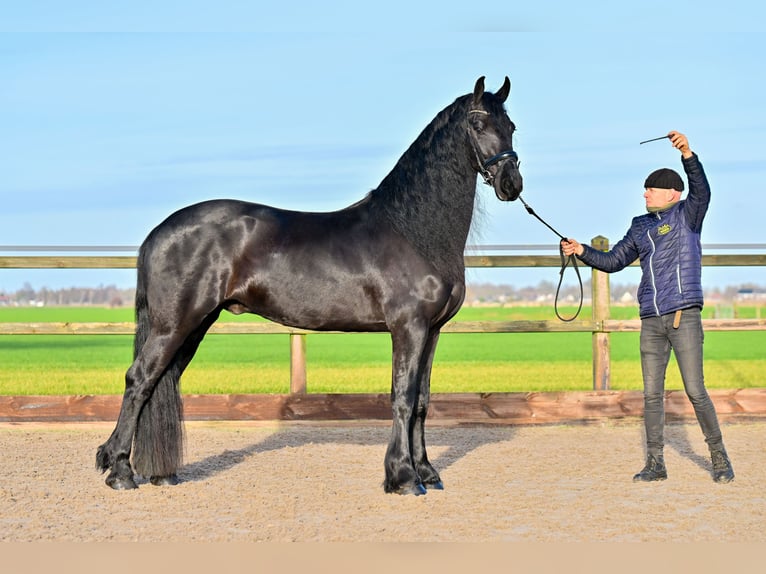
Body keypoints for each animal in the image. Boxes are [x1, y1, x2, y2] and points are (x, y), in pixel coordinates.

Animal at [96, 76, 523, 495]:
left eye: (512, 126)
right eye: (478, 124)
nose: (511, 183)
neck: (415, 229)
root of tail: (160, 231)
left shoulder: (431, 331)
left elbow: (421, 401)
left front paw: (428, 473)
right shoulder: (408, 328)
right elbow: (401, 397)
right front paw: (402, 478)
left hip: (195, 325)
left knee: (160, 381)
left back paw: (159, 473)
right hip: (174, 325)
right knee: (139, 379)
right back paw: (119, 472)